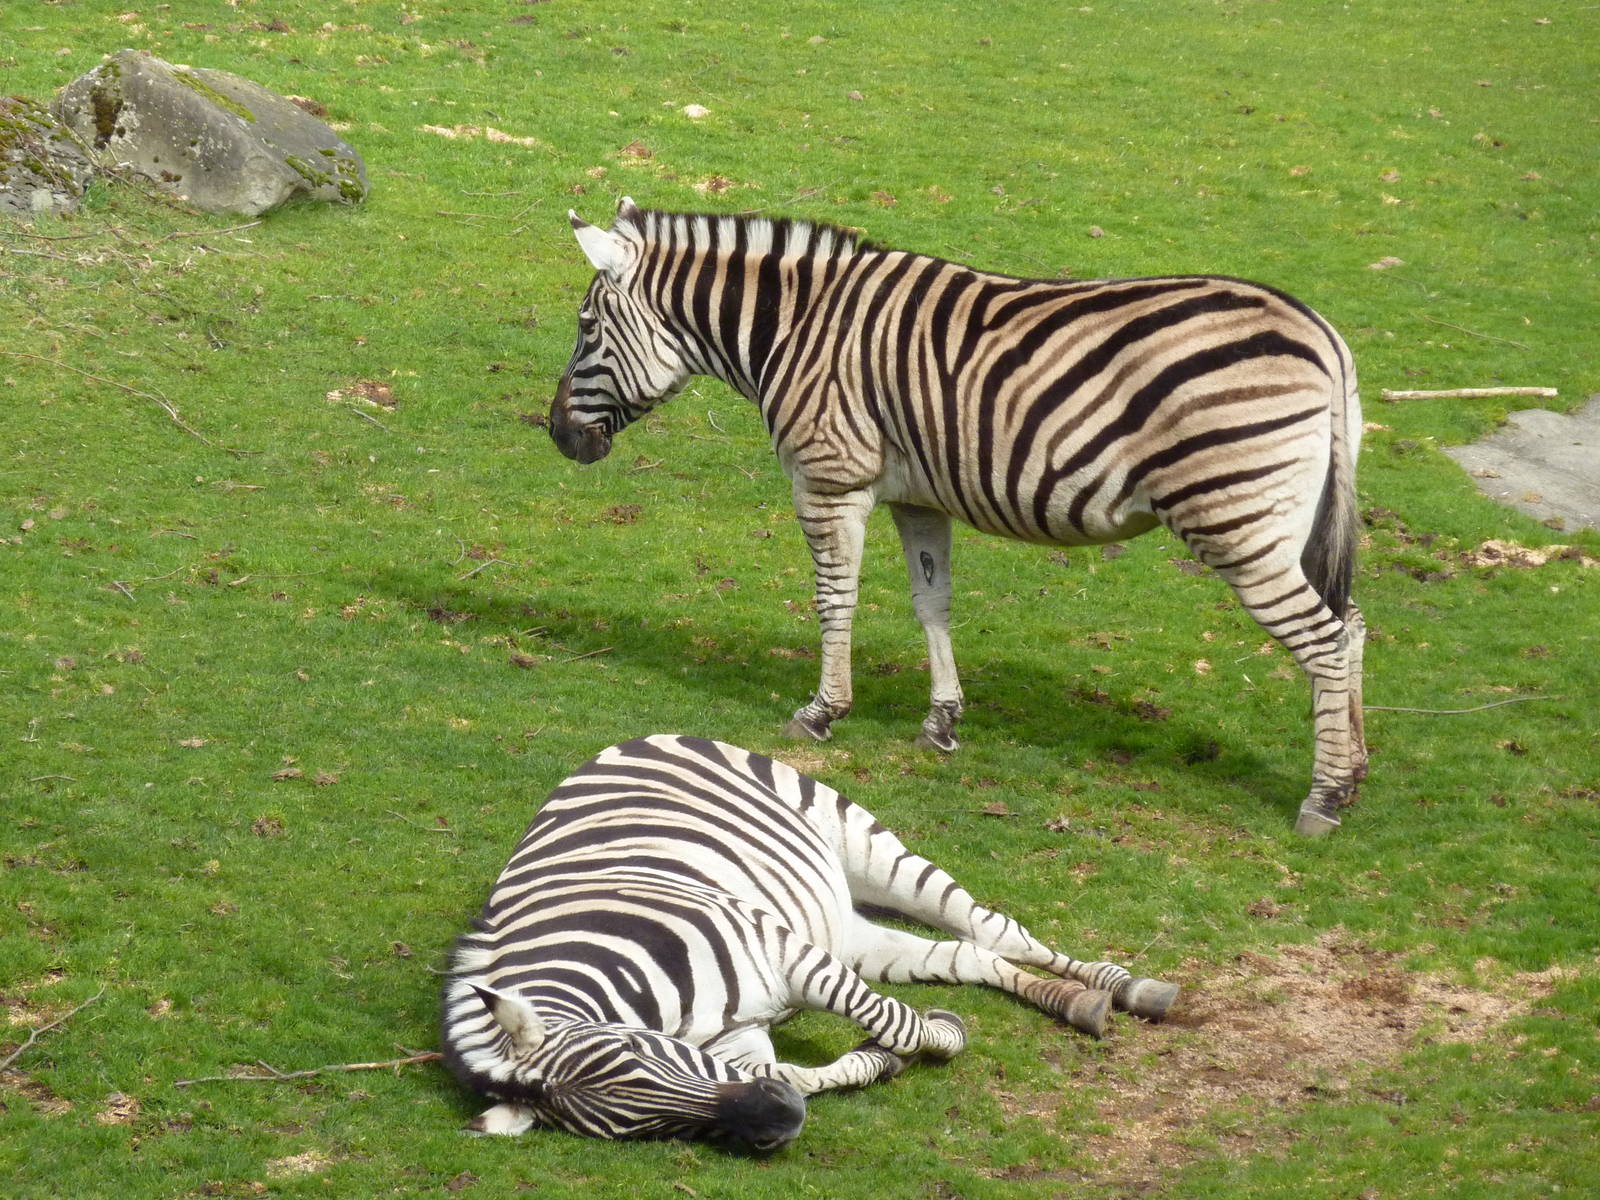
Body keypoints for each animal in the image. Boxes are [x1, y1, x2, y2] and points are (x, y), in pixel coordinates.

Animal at [441, 734, 1179, 1148]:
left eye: (636, 1050)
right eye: (643, 1129)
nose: (778, 1125)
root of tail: (625, 743)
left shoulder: (787, 952)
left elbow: (896, 1022)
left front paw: (938, 1040)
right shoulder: (740, 1036)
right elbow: (789, 1072)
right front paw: (876, 1063)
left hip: (861, 847)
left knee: (994, 928)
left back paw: (1127, 988)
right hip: (847, 931)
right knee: (969, 954)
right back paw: (1073, 1002)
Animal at [548, 199, 1366, 836]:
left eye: (586, 328)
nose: (556, 436)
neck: (796, 330)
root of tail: (1323, 334)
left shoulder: (830, 478)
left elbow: (833, 598)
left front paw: (821, 711)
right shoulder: (918, 497)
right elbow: (931, 603)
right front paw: (941, 722)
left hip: (1237, 518)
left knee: (1323, 640)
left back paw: (1322, 800)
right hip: (1290, 521)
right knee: (1351, 626)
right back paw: (1352, 775)